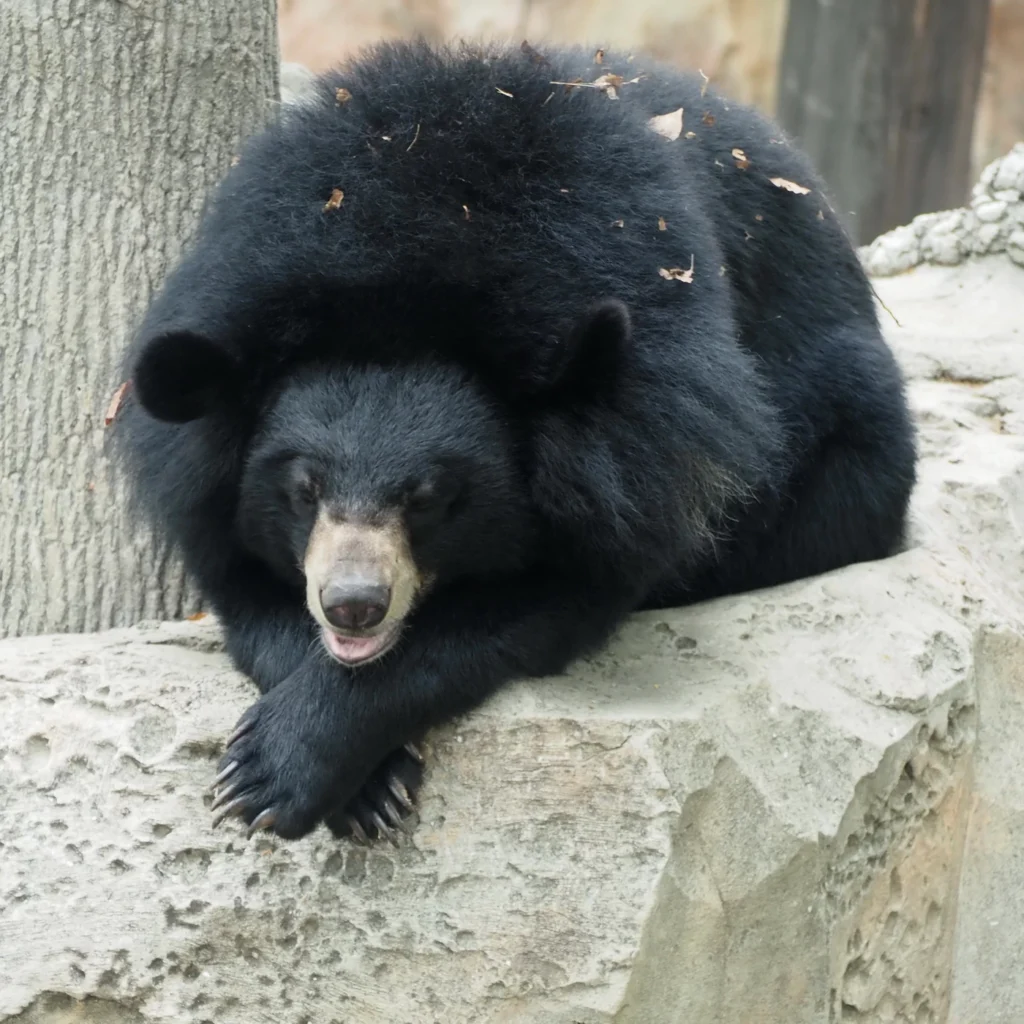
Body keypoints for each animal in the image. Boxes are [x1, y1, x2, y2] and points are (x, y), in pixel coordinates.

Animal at [112, 39, 917, 843]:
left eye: (430, 496)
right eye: (302, 489)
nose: (353, 604)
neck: (395, 276)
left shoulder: (638, 446)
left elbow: (532, 603)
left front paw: (282, 767)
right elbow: (245, 590)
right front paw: (353, 783)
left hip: (845, 434)